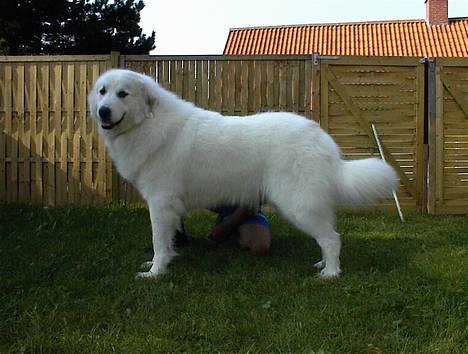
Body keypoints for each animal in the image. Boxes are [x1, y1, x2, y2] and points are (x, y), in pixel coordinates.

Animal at [88, 69, 398, 280]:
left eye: (123, 94)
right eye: (102, 91)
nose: (102, 111)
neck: (147, 123)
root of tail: (321, 138)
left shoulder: (160, 202)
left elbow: (157, 241)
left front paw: (155, 272)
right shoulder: (169, 206)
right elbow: (168, 240)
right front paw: (162, 262)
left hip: (298, 205)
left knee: (332, 239)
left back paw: (330, 274)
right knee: (327, 236)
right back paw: (323, 264)